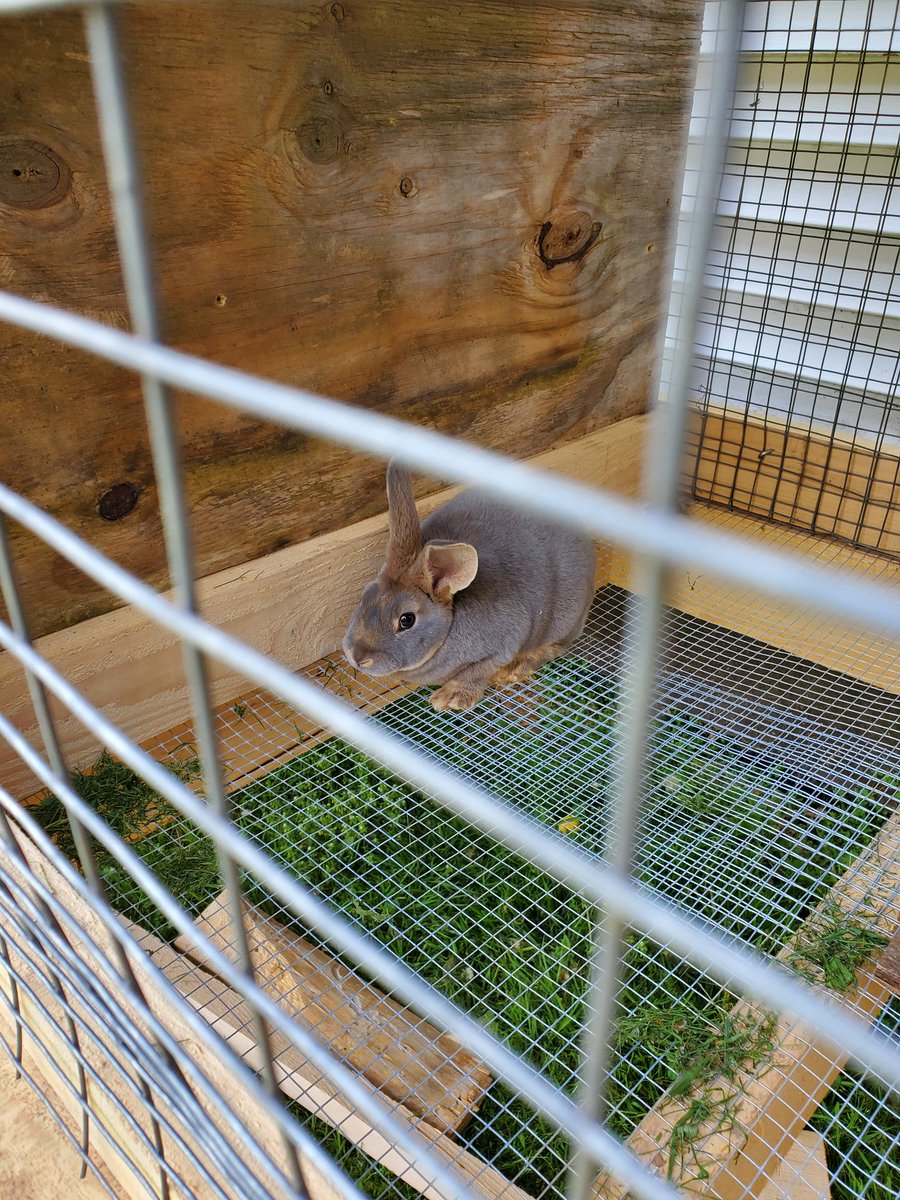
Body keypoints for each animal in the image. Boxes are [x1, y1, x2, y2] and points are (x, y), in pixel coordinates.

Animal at [342, 461, 596, 712]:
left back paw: (515, 670)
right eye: (366, 595)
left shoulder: (502, 645)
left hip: (563, 620)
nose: (357, 657)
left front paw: (450, 698)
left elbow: (478, 671)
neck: (449, 625)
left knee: (556, 647)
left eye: (406, 620)